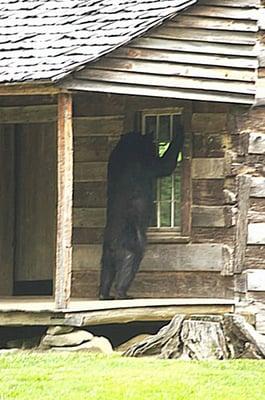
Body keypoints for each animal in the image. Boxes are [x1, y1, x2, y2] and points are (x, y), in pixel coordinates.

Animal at [98, 128, 183, 300]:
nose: (156, 145)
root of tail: (112, 243)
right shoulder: (143, 162)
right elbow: (164, 165)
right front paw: (179, 130)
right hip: (129, 241)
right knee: (129, 262)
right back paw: (122, 293)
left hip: (106, 251)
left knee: (106, 270)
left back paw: (105, 294)